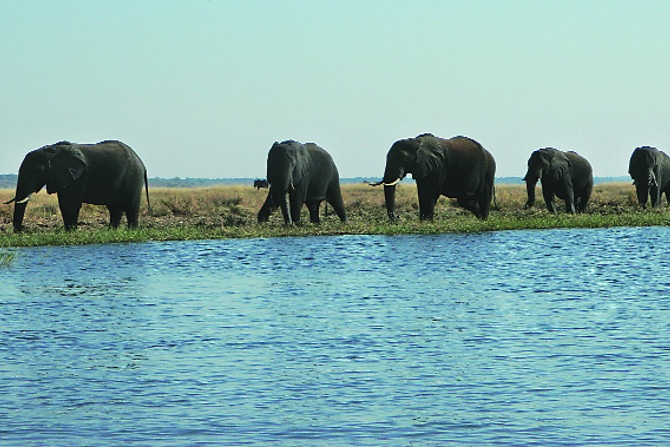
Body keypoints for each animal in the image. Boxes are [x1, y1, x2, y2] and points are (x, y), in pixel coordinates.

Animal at [5, 140, 150, 231]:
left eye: (35, 172)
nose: (20, 230)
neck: (51, 151)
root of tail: (142, 163)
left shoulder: (78, 177)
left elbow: (70, 204)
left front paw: (70, 232)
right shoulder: (64, 177)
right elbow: (64, 204)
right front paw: (69, 231)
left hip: (133, 177)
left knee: (131, 207)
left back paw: (132, 231)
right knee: (115, 208)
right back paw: (111, 231)